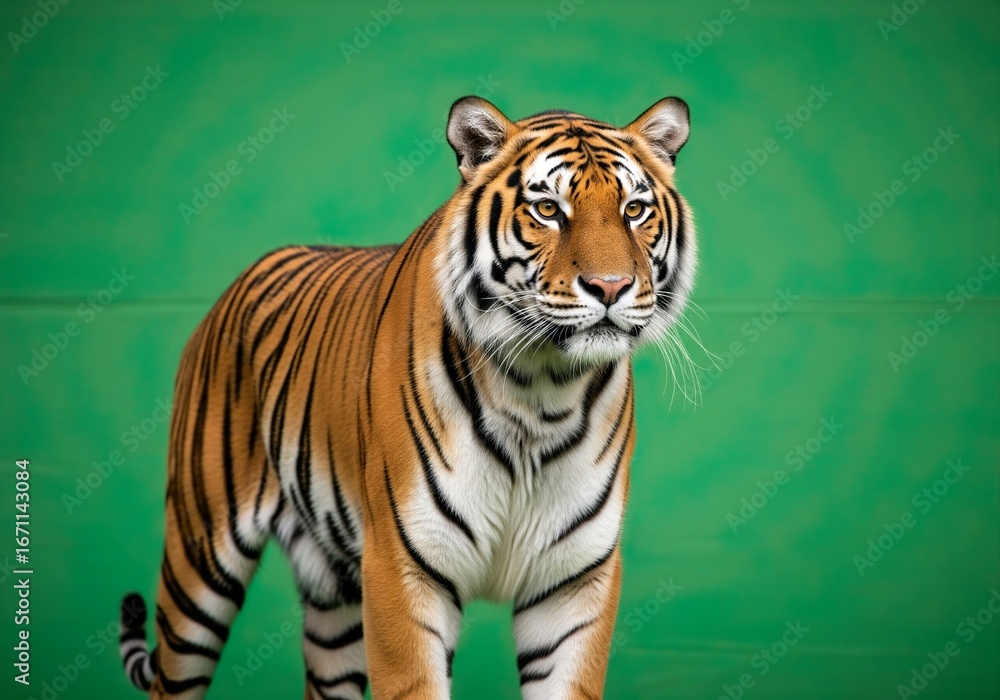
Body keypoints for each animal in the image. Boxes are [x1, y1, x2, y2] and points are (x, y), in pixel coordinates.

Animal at [118, 95, 695, 699]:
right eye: (547, 210)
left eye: (634, 209)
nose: (611, 287)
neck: (540, 392)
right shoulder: (401, 567)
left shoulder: (575, 580)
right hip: (198, 558)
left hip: (331, 595)